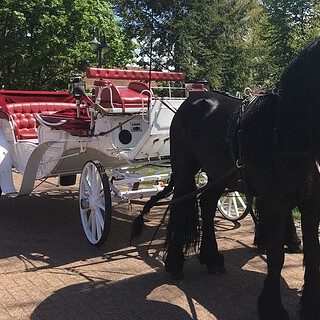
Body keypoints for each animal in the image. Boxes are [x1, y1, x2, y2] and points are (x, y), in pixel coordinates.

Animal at [164, 38, 320, 318]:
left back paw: (212, 258)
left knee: (207, 203)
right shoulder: (276, 203)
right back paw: (175, 263)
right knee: (180, 208)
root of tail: (192, 99)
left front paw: (310, 305)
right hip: (184, 172)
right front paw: (272, 307)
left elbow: (313, 253)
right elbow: (276, 256)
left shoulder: (311, 202)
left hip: (219, 174)